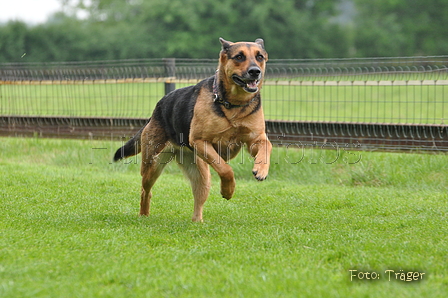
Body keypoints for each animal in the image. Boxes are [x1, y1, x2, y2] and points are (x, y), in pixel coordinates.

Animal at [114, 37, 272, 221]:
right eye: (239, 57)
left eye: (260, 57)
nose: (255, 72)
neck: (233, 105)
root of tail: (157, 108)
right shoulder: (200, 142)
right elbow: (226, 169)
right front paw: (228, 190)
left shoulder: (254, 139)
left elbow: (266, 146)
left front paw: (261, 169)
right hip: (153, 165)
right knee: (145, 190)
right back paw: (144, 214)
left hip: (201, 174)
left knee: (198, 199)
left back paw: (197, 222)